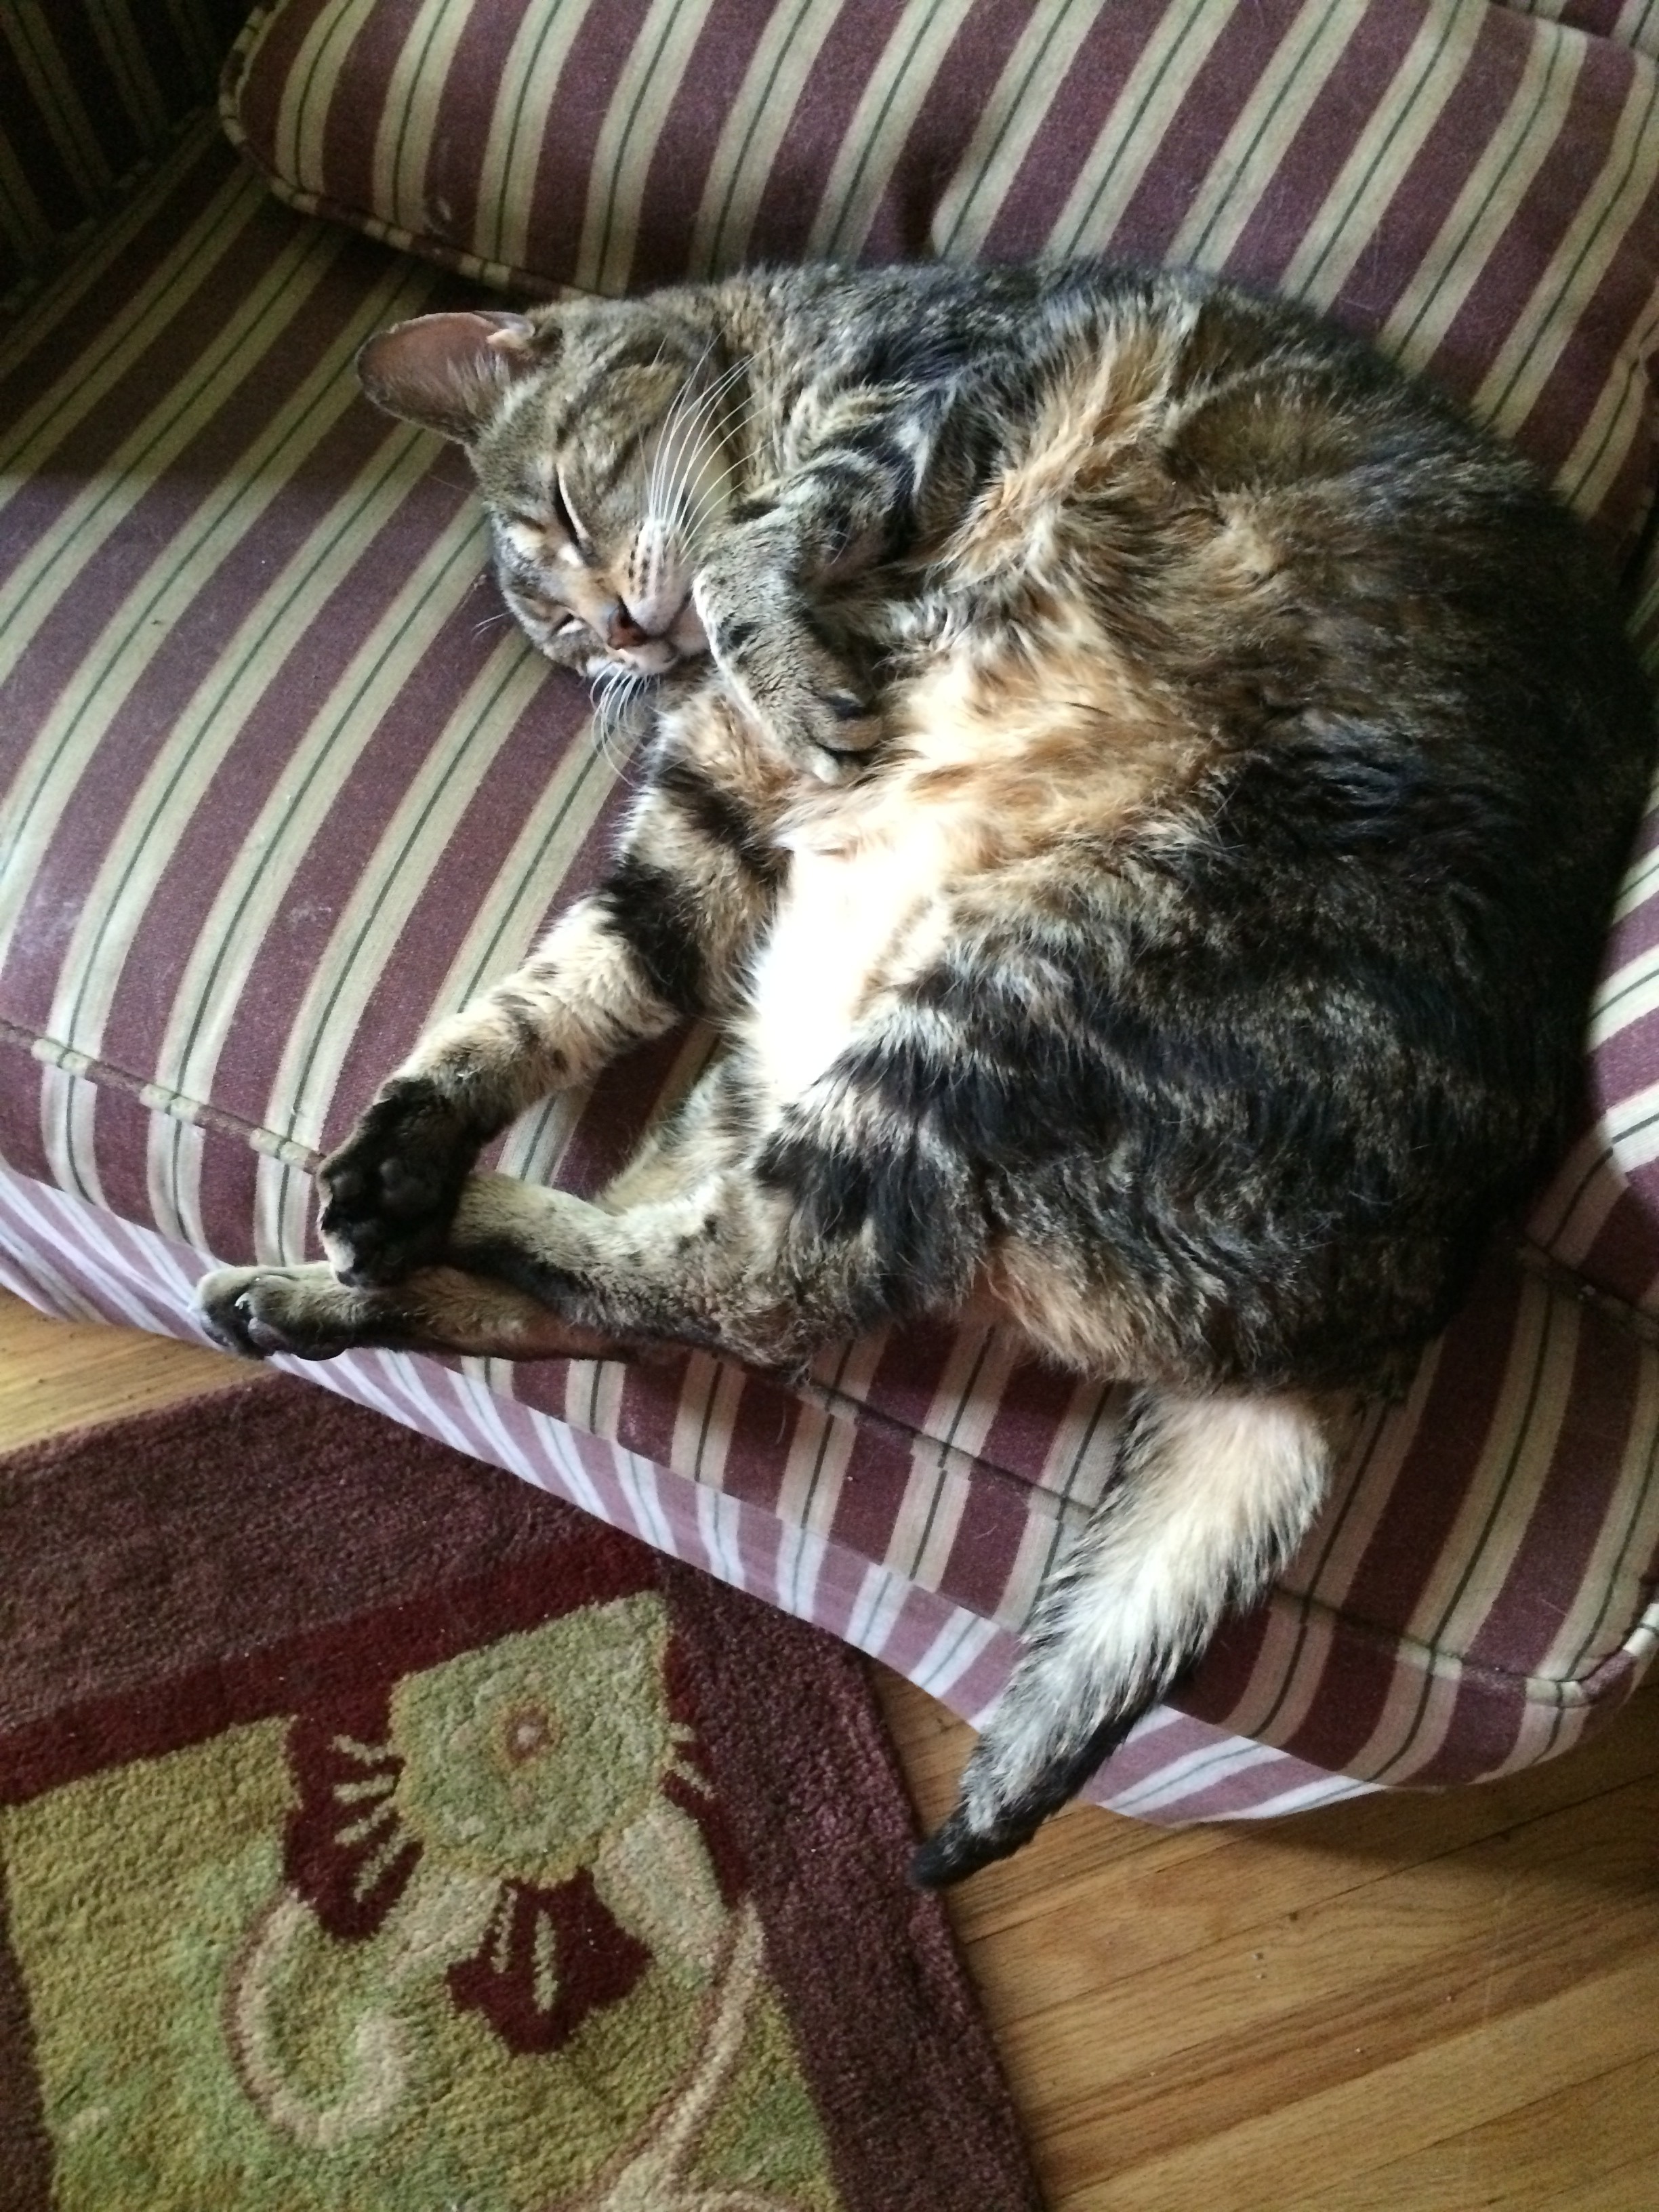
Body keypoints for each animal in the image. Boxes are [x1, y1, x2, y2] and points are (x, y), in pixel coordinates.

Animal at [191, 258, 1654, 1884]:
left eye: (565, 509)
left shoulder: (942, 391)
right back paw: (327, 1278)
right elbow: (552, 993)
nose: (619, 639)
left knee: (748, 1291)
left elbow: (749, 556)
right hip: (792, 1048)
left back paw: (448, 1225)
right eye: (563, 635)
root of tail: (1402, 1303)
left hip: (1023, 986)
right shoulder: (709, 821)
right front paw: (409, 1129)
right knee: (651, 1301)